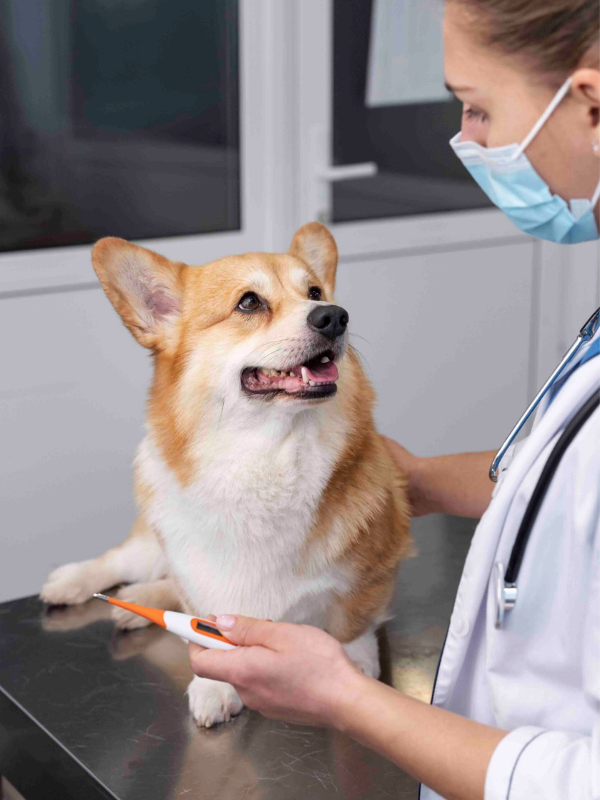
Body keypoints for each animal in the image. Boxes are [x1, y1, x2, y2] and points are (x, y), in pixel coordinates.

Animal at [39, 223, 410, 724]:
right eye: (249, 303)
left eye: (315, 292)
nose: (335, 316)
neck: (267, 454)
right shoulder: (199, 575)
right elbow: (206, 618)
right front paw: (216, 684)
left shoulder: (373, 570)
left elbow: (352, 622)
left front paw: (354, 663)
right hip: (152, 545)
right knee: (121, 561)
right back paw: (72, 582)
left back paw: (135, 605)